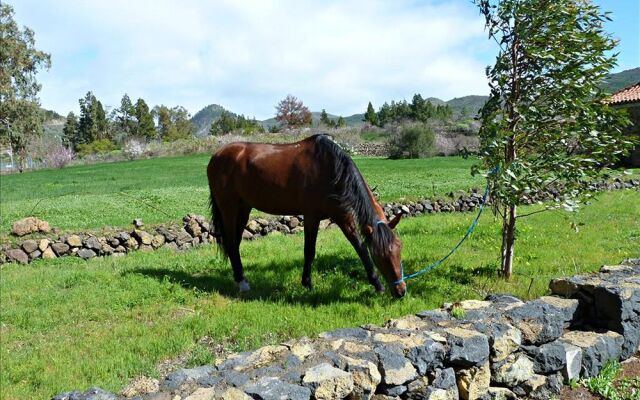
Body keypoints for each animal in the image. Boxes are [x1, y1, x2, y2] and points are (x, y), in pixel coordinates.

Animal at [206, 134, 404, 296]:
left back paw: (240, 278)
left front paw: (377, 284)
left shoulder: (342, 216)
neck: (331, 169)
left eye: (399, 248)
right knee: (232, 243)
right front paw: (307, 284)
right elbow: (309, 250)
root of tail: (216, 156)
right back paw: (242, 283)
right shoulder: (311, 217)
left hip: (244, 208)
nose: (401, 291)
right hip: (229, 208)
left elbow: (360, 247)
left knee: (235, 243)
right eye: (381, 254)